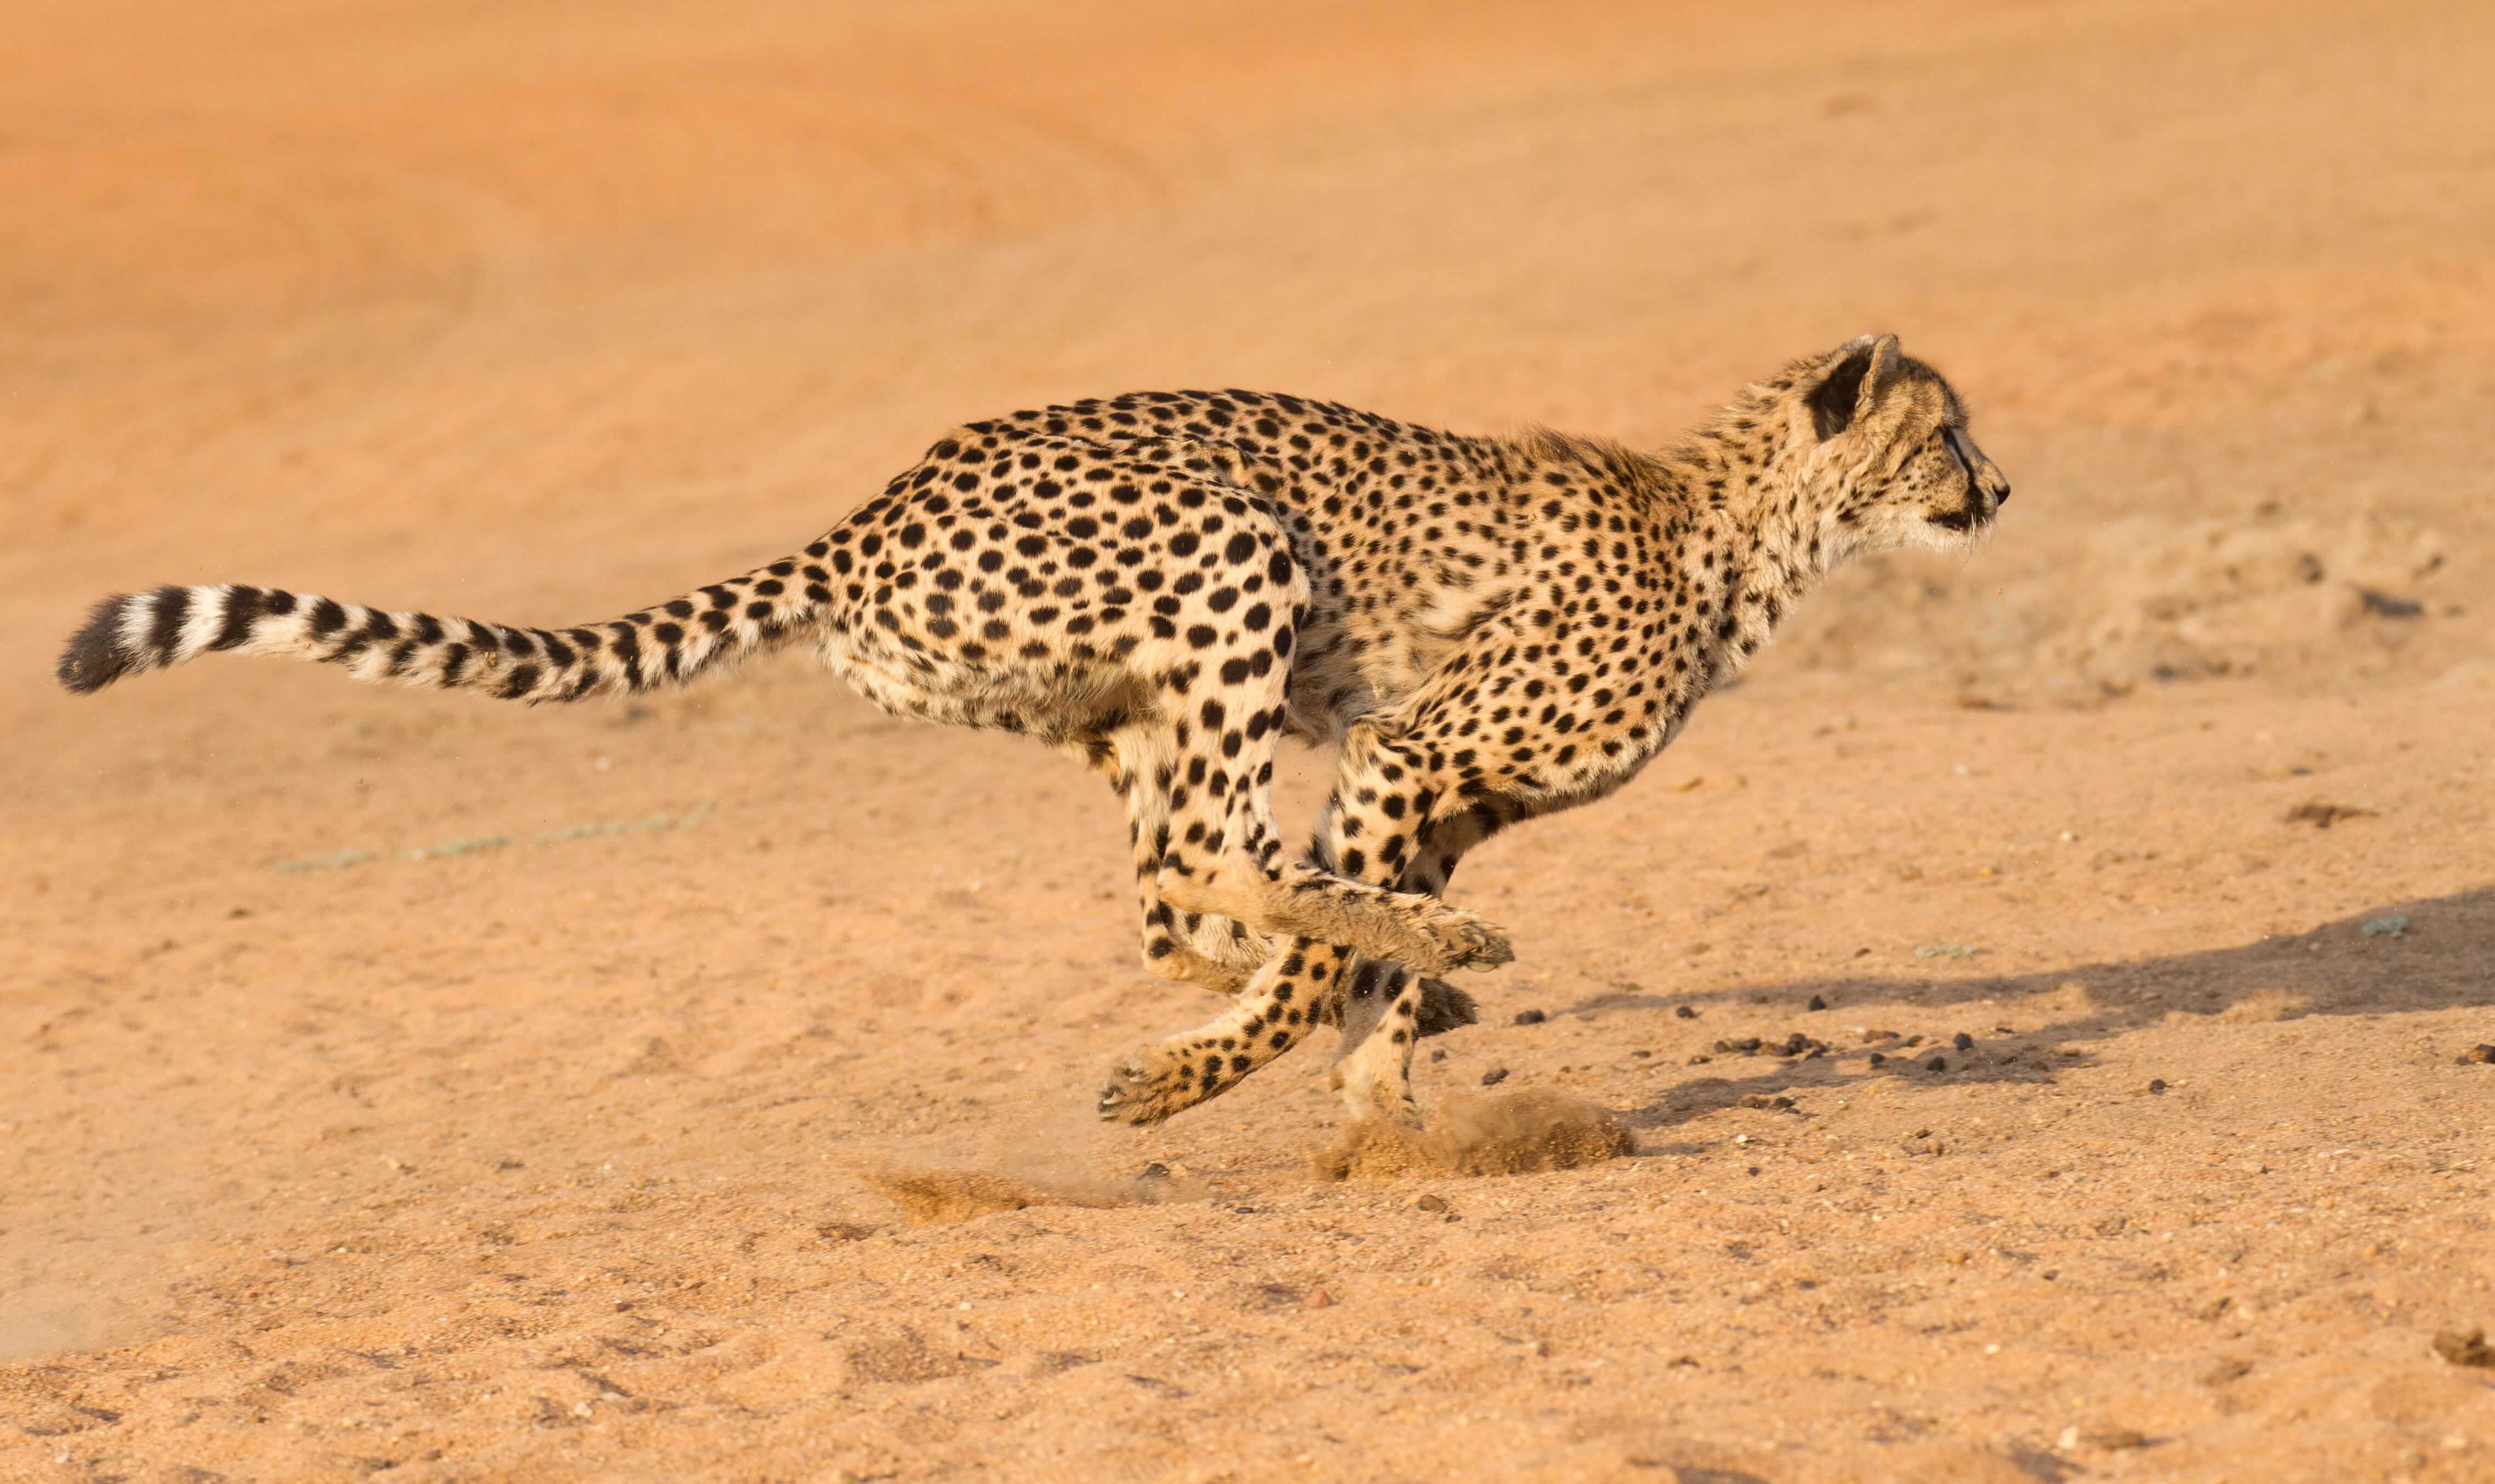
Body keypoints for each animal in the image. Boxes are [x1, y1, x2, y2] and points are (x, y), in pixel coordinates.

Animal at [58, 334, 2006, 1127]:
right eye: (1943, 433)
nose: (1999, 487)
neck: (1741, 529)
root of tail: (873, 505)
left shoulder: (1433, 792)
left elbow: (1338, 959)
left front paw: (1380, 1083)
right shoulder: (1403, 759)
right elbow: (1332, 945)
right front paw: (1247, 1070)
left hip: (1118, 699)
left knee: (1165, 890)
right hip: (1230, 561)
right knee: (1212, 858)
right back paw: (1364, 976)